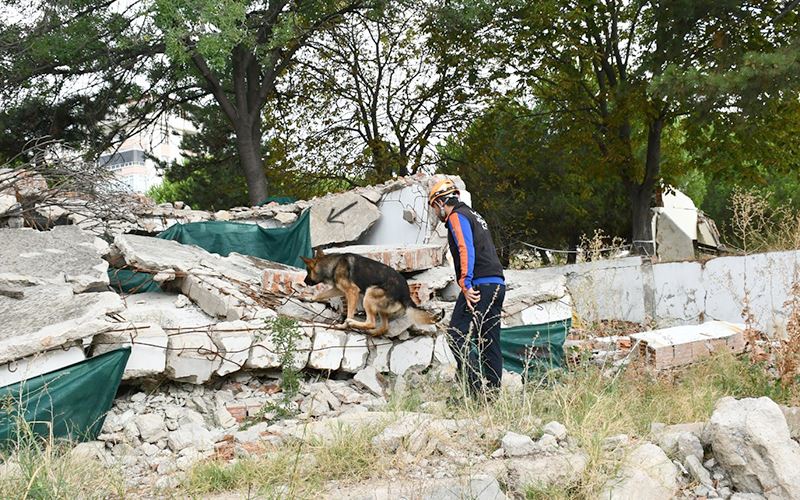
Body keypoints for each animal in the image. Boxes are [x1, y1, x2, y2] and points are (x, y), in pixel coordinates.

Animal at [301, 249, 437, 336]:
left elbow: (350, 313)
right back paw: (371, 332)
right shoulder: (338, 289)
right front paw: (308, 298)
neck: (332, 264)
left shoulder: (352, 291)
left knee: (371, 322)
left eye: (308, 271)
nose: (304, 281)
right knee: (384, 327)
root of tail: (406, 295)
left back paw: (352, 323)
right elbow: (321, 294)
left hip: (369, 294)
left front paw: (343, 326)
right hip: (379, 307)